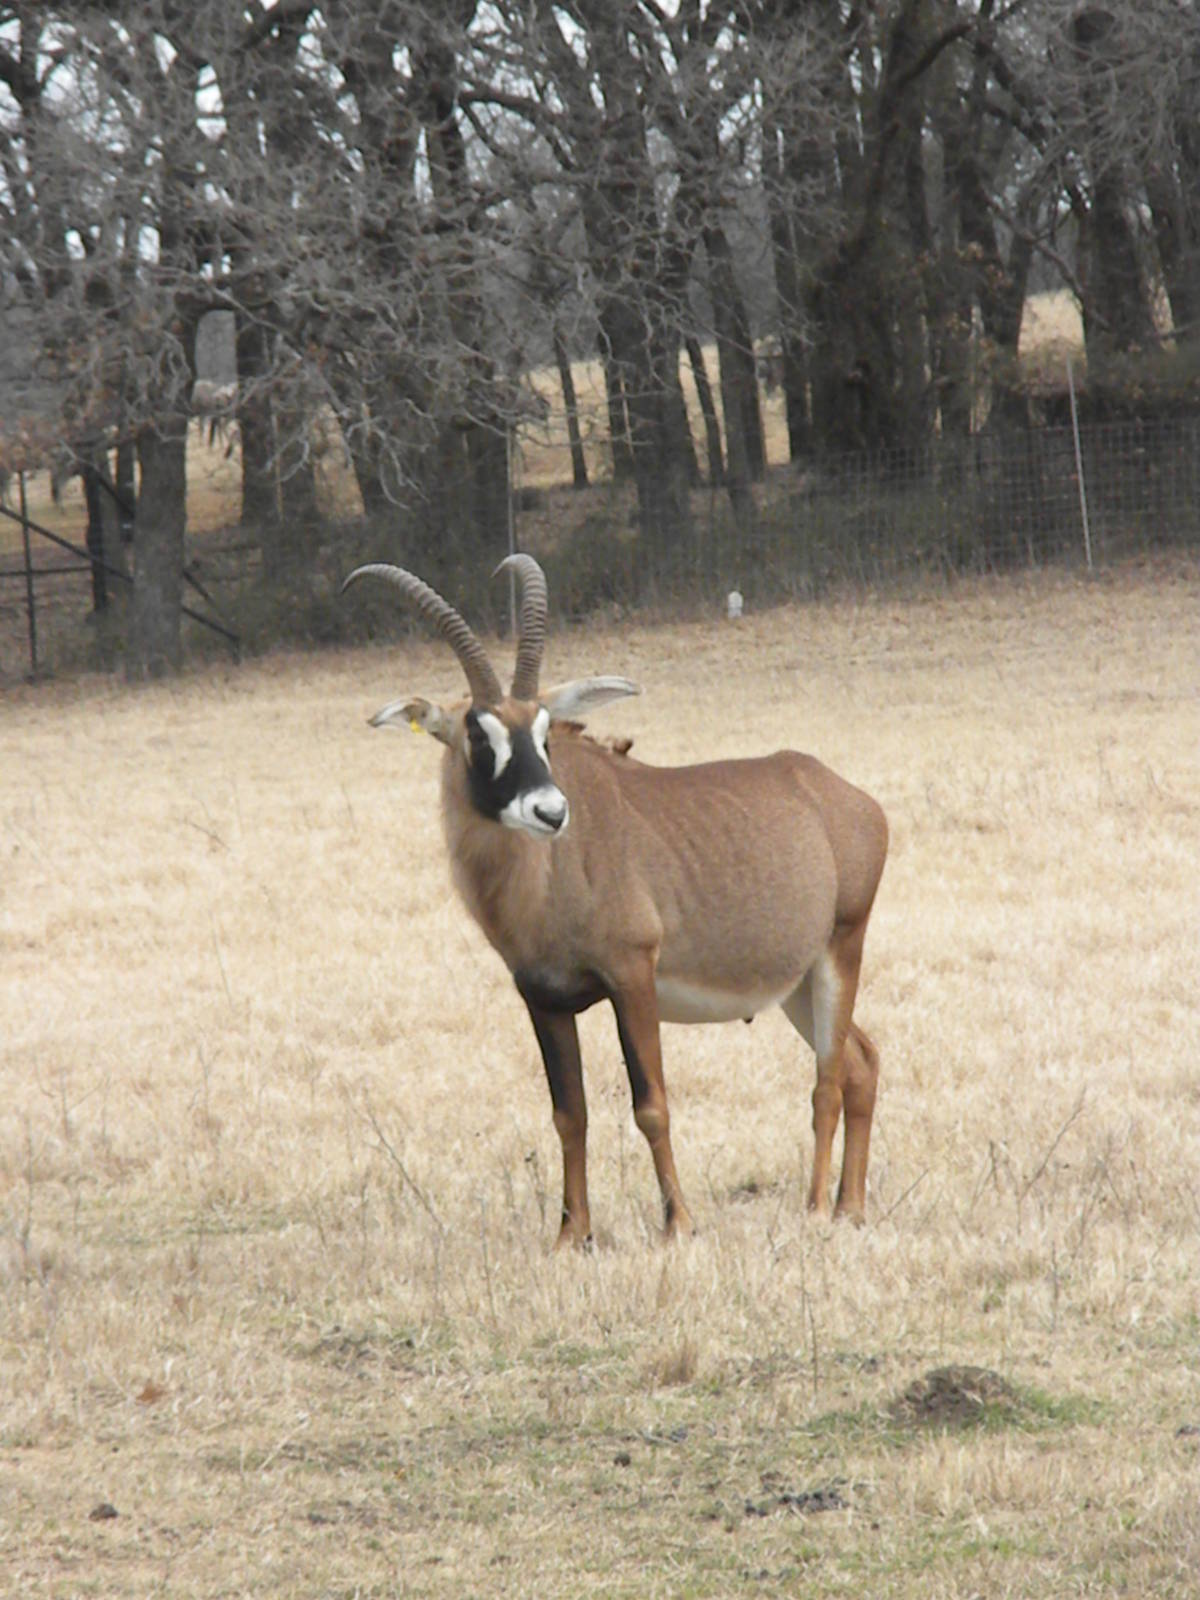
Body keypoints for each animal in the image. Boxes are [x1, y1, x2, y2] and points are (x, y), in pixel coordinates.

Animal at [343, 556, 887, 1244]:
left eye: (544, 731)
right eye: (477, 733)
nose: (550, 812)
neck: (545, 881)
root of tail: (841, 794)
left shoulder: (633, 977)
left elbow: (650, 1104)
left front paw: (679, 1223)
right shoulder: (543, 999)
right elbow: (568, 1115)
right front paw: (571, 1234)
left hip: (842, 949)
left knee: (826, 1079)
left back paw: (816, 1208)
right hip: (795, 985)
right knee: (860, 1061)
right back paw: (850, 1208)